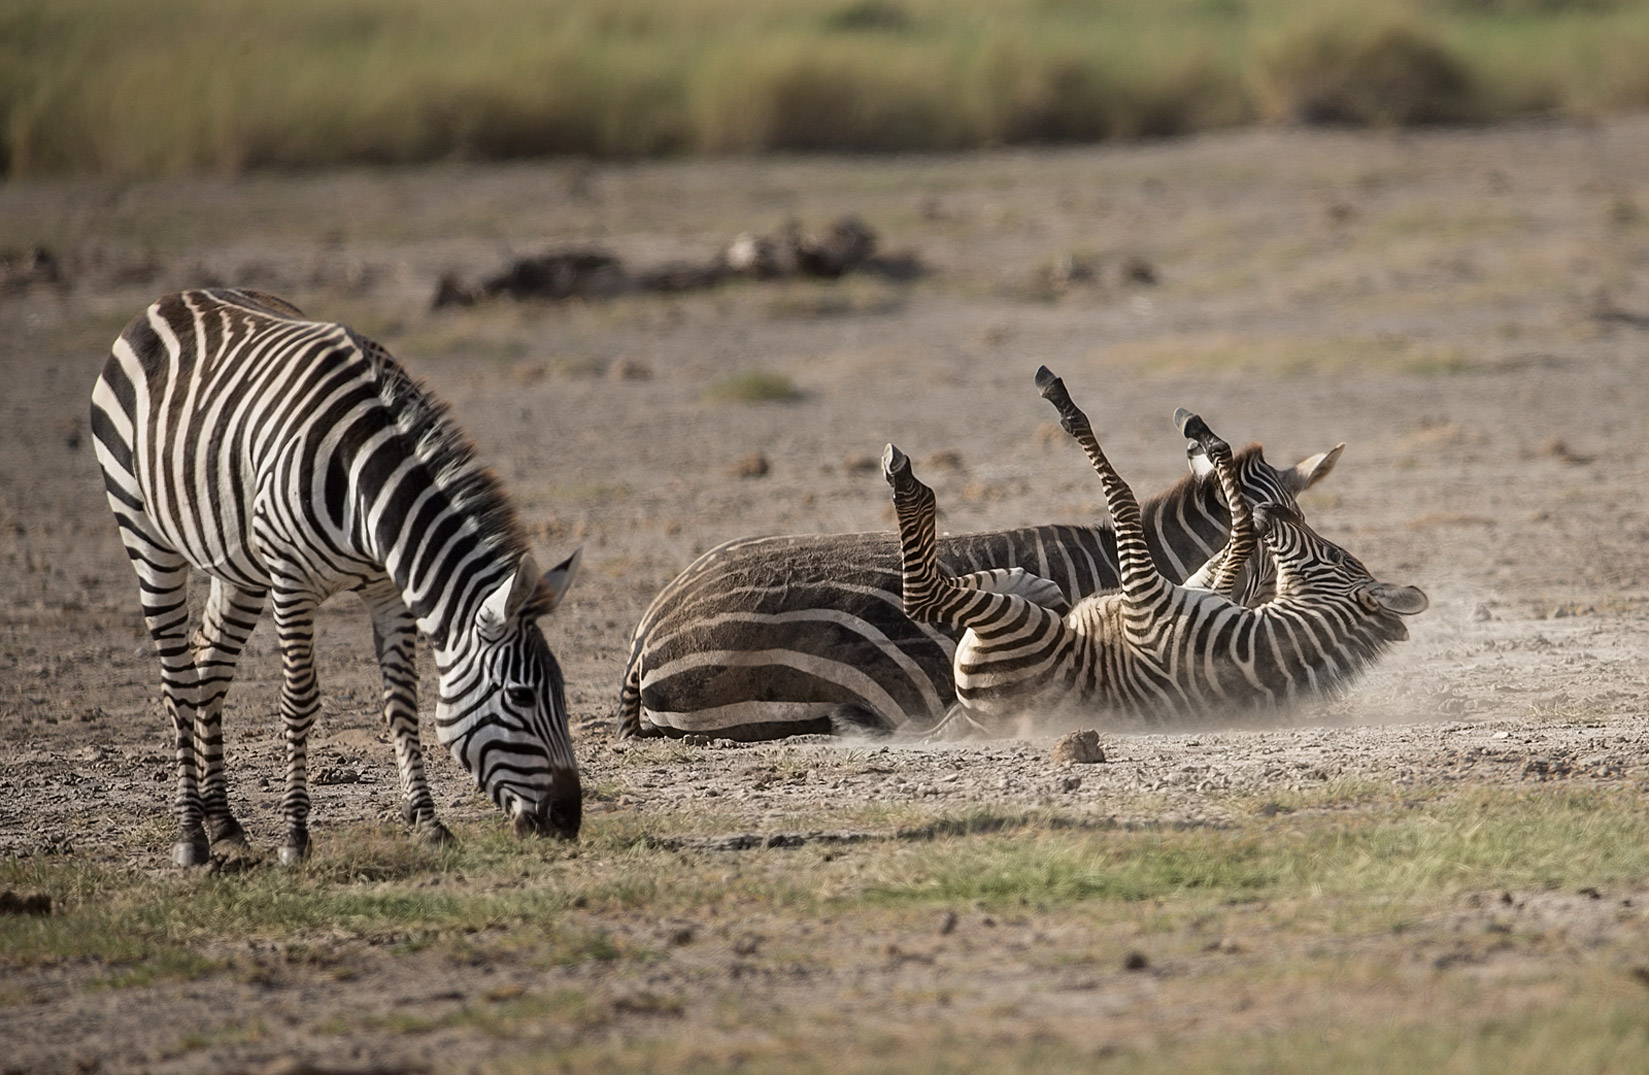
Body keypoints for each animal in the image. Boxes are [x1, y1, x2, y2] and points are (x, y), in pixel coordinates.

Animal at [90, 286, 583, 863]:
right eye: (521, 696)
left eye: (561, 691)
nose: (569, 819)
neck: (366, 486)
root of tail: (173, 298)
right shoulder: (291, 583)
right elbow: (299, 701)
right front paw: (294, 838)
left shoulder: (390, 590)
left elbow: (402, 702)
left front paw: (428, 823)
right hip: (146, 534)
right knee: (178, 680)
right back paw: (192, 837)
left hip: (238, 567)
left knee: (209, 667)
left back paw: (225, 825)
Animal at [877, 369, 1431, 732]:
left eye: (1335, 558)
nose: (1279, 512)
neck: (1261, 637)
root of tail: (984, 718)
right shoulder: (1204, 586)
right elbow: (1234, 539)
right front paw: (1203, 440)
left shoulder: (1147, 597)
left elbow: (1123, 499)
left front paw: (1065, 404)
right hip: (1031, 610)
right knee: (1011, 589)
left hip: (1016, 630)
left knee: (922, 594)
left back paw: (907, 482)